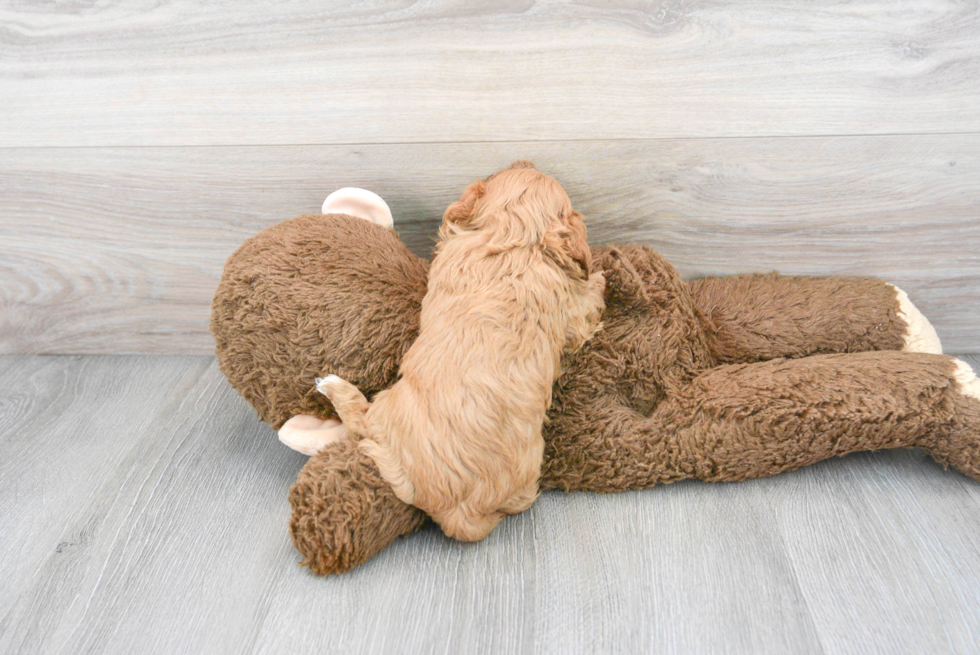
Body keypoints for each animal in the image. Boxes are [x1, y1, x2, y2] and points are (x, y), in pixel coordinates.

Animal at [318, 161, 604, 540]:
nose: (526, 161)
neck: (516, 240)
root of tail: (460, 513)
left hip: (386, 409)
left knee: (360, 420)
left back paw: (333, 385)